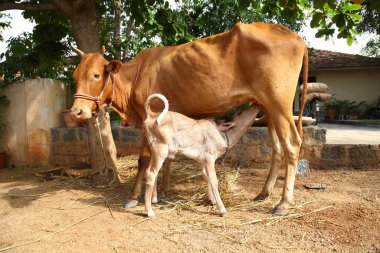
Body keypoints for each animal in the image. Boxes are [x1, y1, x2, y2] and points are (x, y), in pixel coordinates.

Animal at [70, 22, 308, 215]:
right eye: (74, 76)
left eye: (96, 75)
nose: (76, 112)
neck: (135, 78)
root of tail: (296, 37)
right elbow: (165, 159)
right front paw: (162, 190)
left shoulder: (149, 117)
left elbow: (143, 160)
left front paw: (133, 198)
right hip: (268, 106)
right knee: (277, 147)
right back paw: (264, 192)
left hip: (280, 104)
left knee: (292, 145)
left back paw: (283, 203)